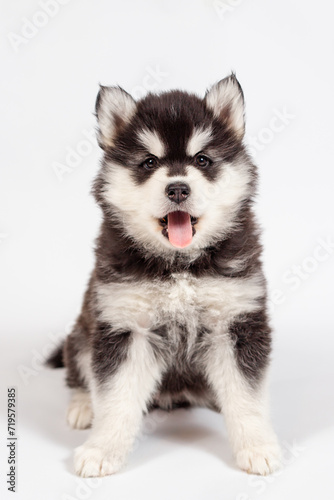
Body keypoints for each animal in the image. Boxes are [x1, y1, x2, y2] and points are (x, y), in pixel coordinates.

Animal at [48, 74, 280, 476]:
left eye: (202, 159)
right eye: (148, 162)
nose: (177, 188)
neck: (179, 265)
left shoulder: (236, 323)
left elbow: (247, 395)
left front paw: (257, 445)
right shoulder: (125, 328)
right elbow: (116, 398)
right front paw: (101, 449)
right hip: (82, 333)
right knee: (80, 373)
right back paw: (83, 405)